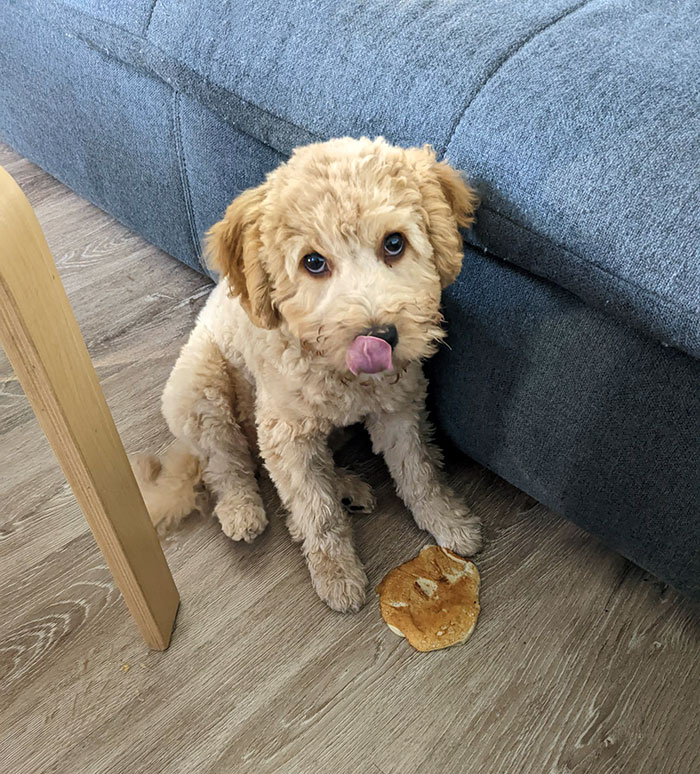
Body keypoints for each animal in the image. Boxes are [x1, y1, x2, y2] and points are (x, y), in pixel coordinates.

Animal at [140, 136, 484, 616]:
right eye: (313, 263)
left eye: (394, 243)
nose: (381, 337)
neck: (340, 373)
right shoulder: (285, 434)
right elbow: (315, 513)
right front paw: (336, 573)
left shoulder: (400, 409)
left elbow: (419, 472)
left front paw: (448, 520)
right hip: (201, 391)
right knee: (226, 464)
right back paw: (242, 509)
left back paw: (345, 486)